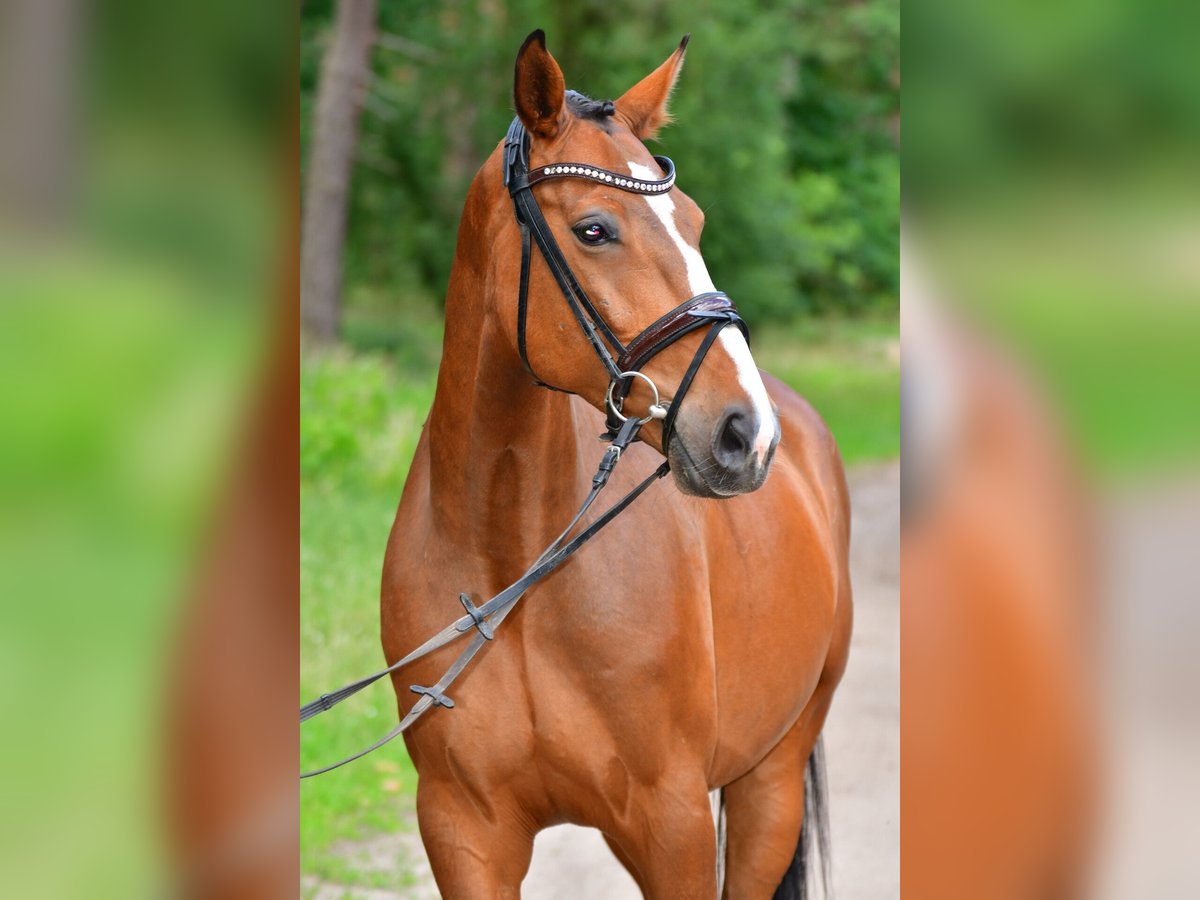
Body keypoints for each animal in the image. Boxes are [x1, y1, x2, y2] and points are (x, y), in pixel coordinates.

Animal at [379, 31, 849, 897]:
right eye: (594, 230)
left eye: (693, 220)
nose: (746, 434)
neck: (517, 576)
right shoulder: (463, 831)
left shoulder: (674, 828)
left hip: (770, 779)